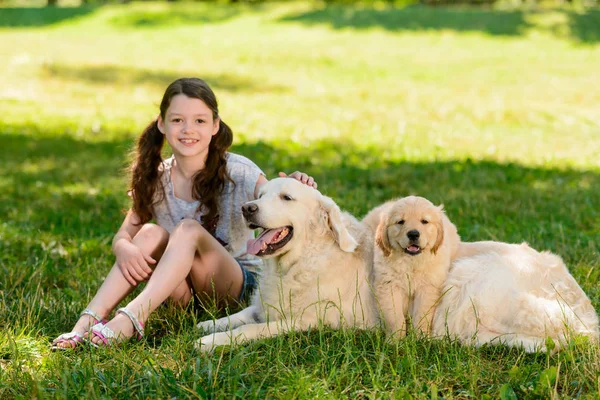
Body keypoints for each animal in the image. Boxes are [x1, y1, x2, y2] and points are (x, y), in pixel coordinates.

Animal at [195, 177, 378, 350]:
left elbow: (251, 328)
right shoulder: (266, 302)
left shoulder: (306, 320)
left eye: (287, 197)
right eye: (260, 196)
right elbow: (244, 313)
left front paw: (211, 341)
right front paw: (209, 324)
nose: (247, 208)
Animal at [366, 197, 460, 338]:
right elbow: (394, 317)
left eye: (424, 221)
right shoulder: (388, 286)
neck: (411, 262)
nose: (413, 234)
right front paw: (395, 339)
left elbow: (422, 315)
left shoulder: (428, 287)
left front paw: (422, 338)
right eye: (400, 222)